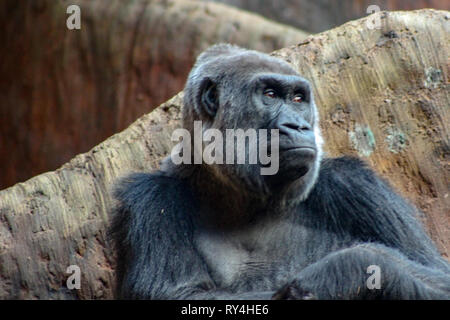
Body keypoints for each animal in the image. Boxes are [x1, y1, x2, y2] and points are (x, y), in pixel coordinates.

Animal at [111, 43, 450, 298]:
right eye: (270, 94)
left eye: (298, 98)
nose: (299, 126)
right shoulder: (150, 199)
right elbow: (181, 292)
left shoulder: (356, 186)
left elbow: (438, 277)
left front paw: (346, 270)